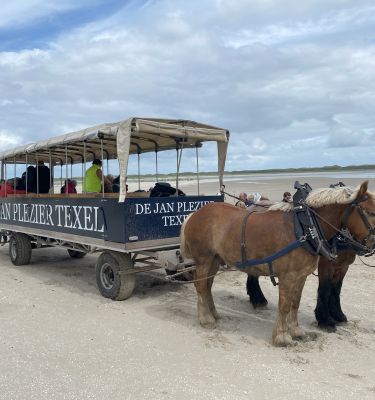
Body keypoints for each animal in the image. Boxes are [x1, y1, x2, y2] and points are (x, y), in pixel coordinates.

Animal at [181, 182, 374, 346]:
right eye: (371, 212)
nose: (373, 244)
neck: (305, 227)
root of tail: (195, 214)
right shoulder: (288, 276)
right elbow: (285, 305)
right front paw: (282, 337)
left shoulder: (301, 276)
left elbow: (295, 303)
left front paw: (296, 331)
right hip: (203, 260)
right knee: (201, 286)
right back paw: (206, 319)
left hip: (214, 260)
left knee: (207, 286)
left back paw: (213, 313)